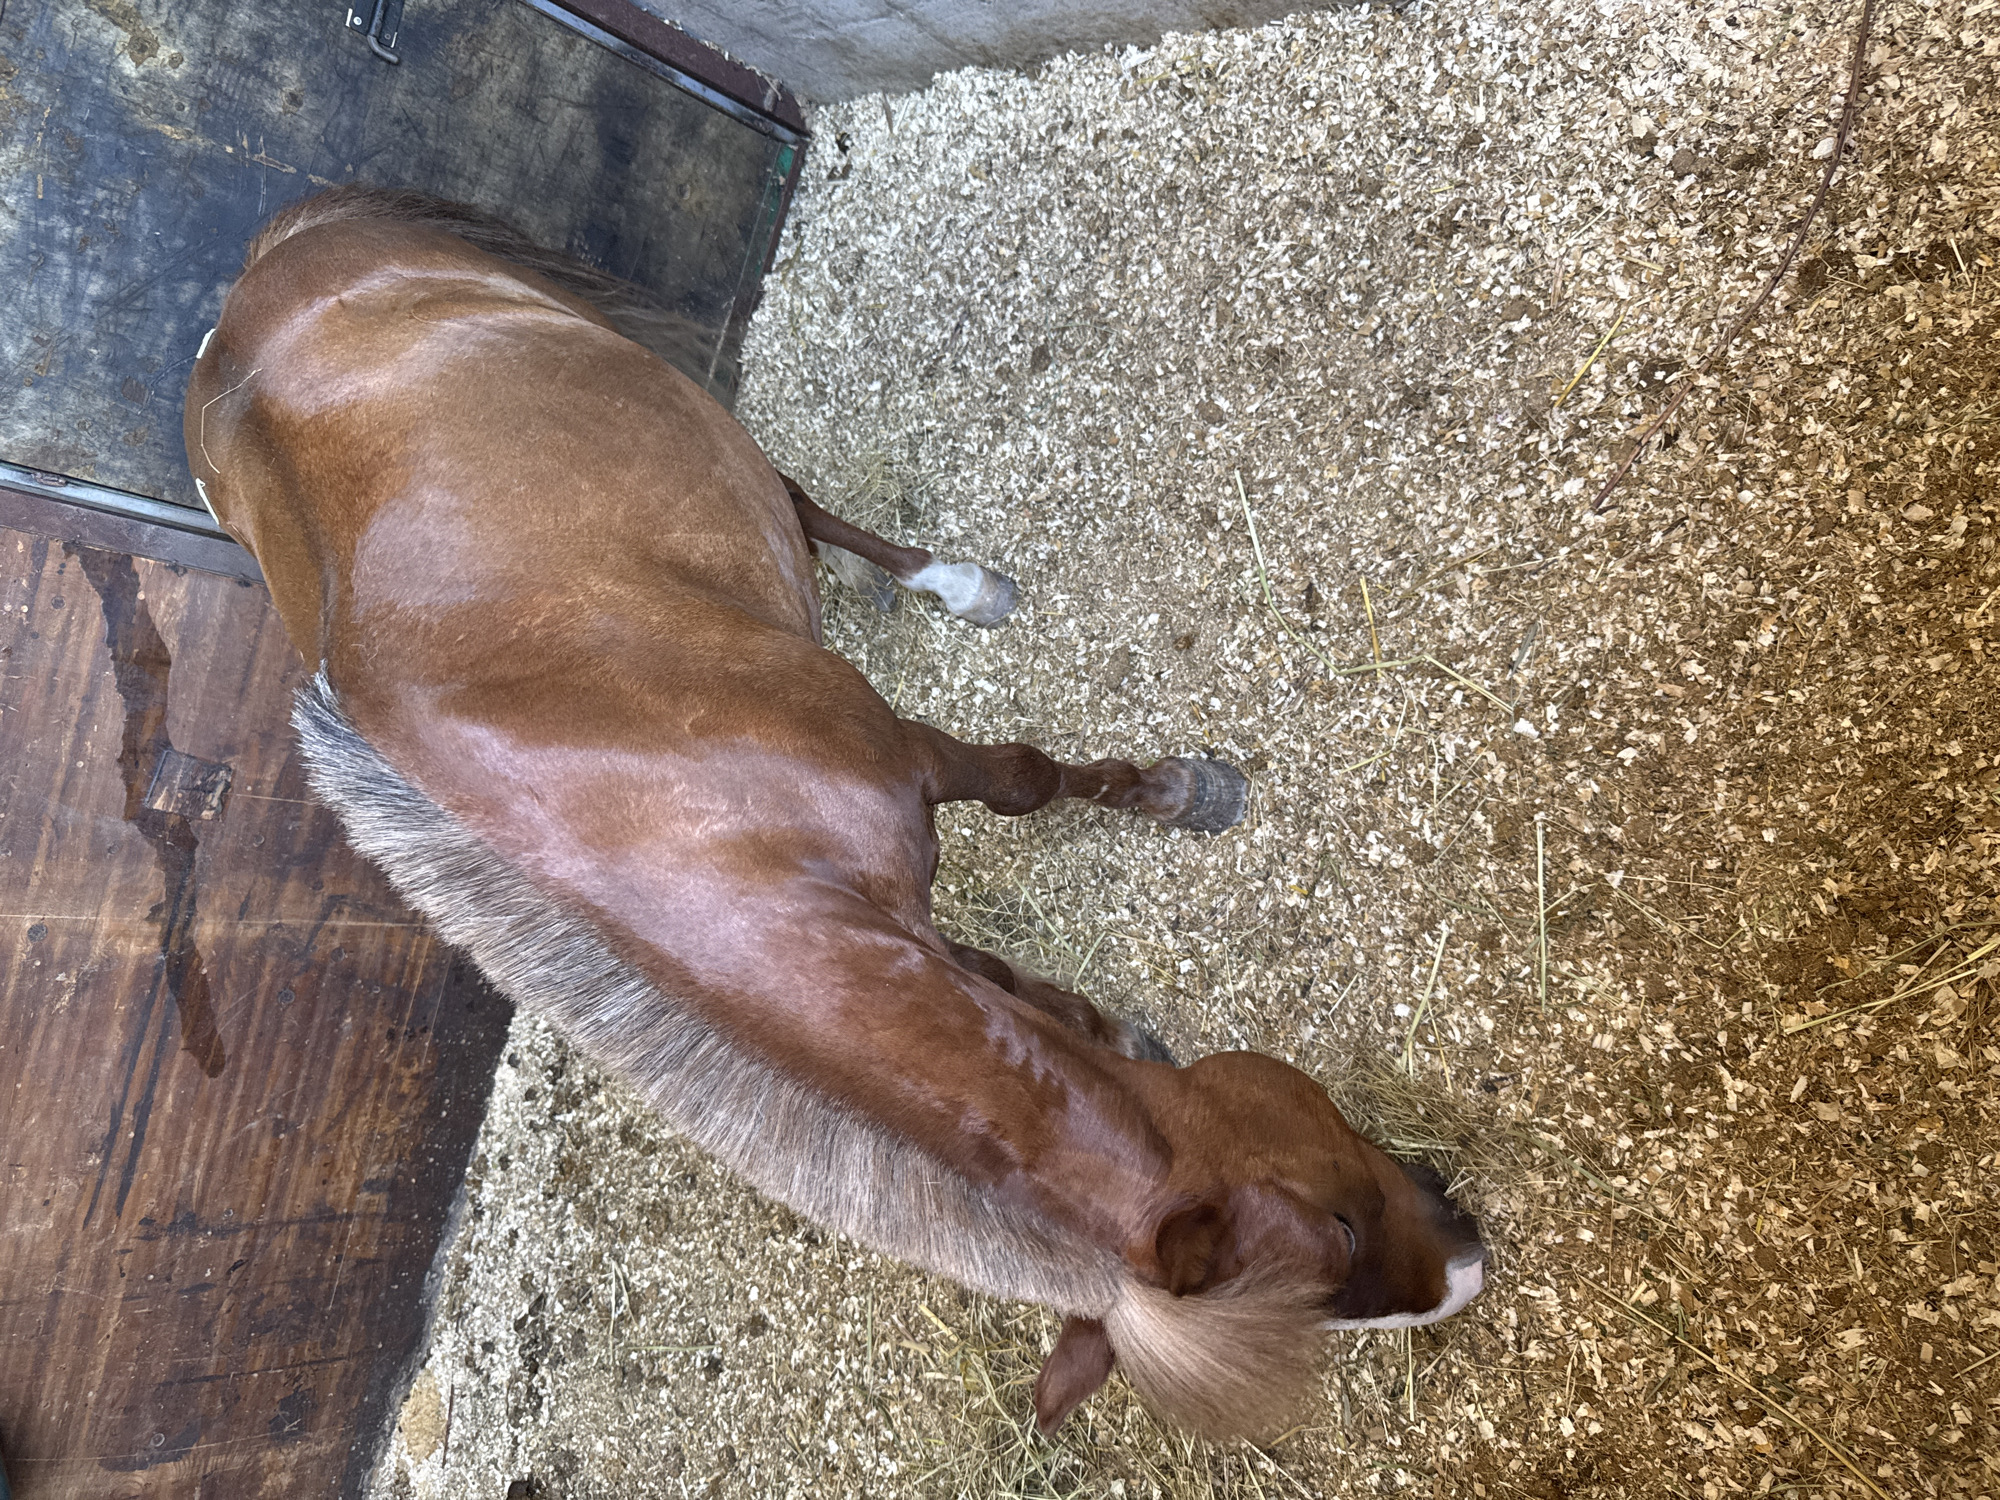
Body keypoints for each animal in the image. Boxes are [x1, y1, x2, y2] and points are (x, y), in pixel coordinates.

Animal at [183, 186, 1483, 1440]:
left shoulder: (903, 769)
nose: (1468, 1268)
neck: (686, 838)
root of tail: (260, 283)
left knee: (799, 500)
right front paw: (1105, 994)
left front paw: (1183, 796)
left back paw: (953, 584)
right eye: (1339, 1241)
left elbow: (1021, 788)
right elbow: (1011, 901)